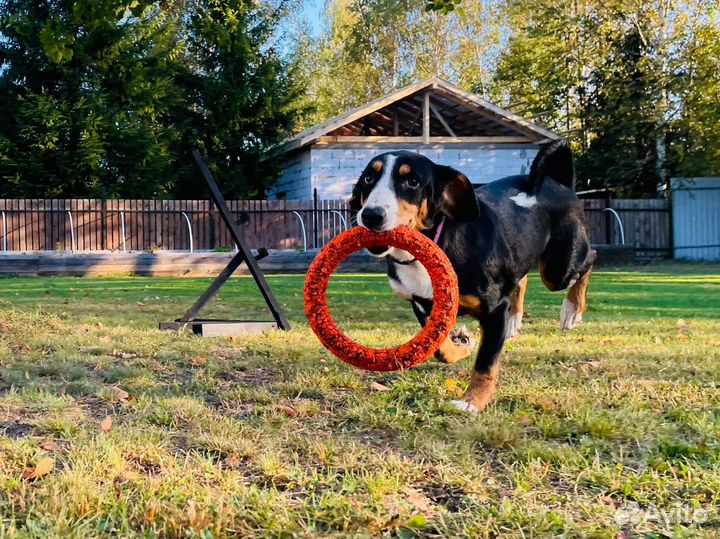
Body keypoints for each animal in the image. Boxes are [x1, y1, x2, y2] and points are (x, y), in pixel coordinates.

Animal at [350, 140, 596, 414]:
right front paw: (462, 346)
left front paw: (472, 401)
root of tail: (559, 184)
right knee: (520, 278)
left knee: (589, 260)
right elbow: (440, 349)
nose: (371, 215)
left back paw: (571, 310)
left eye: (412, 181)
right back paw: (515, 318)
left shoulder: (494, 311)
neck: (438, 245)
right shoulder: (423, 305)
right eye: (369, 178)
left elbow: (485, 363)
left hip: (559, 268)